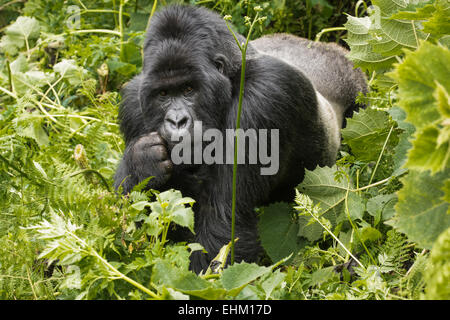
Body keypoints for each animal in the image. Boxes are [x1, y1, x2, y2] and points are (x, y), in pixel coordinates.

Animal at [114, 4, 368, 272]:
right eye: (163, 94)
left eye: (188, 89)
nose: (176, 121)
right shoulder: (132, 104)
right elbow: (138, 219)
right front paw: (142, 163)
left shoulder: (265, 96)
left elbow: (225, 221)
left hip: (355, 84)